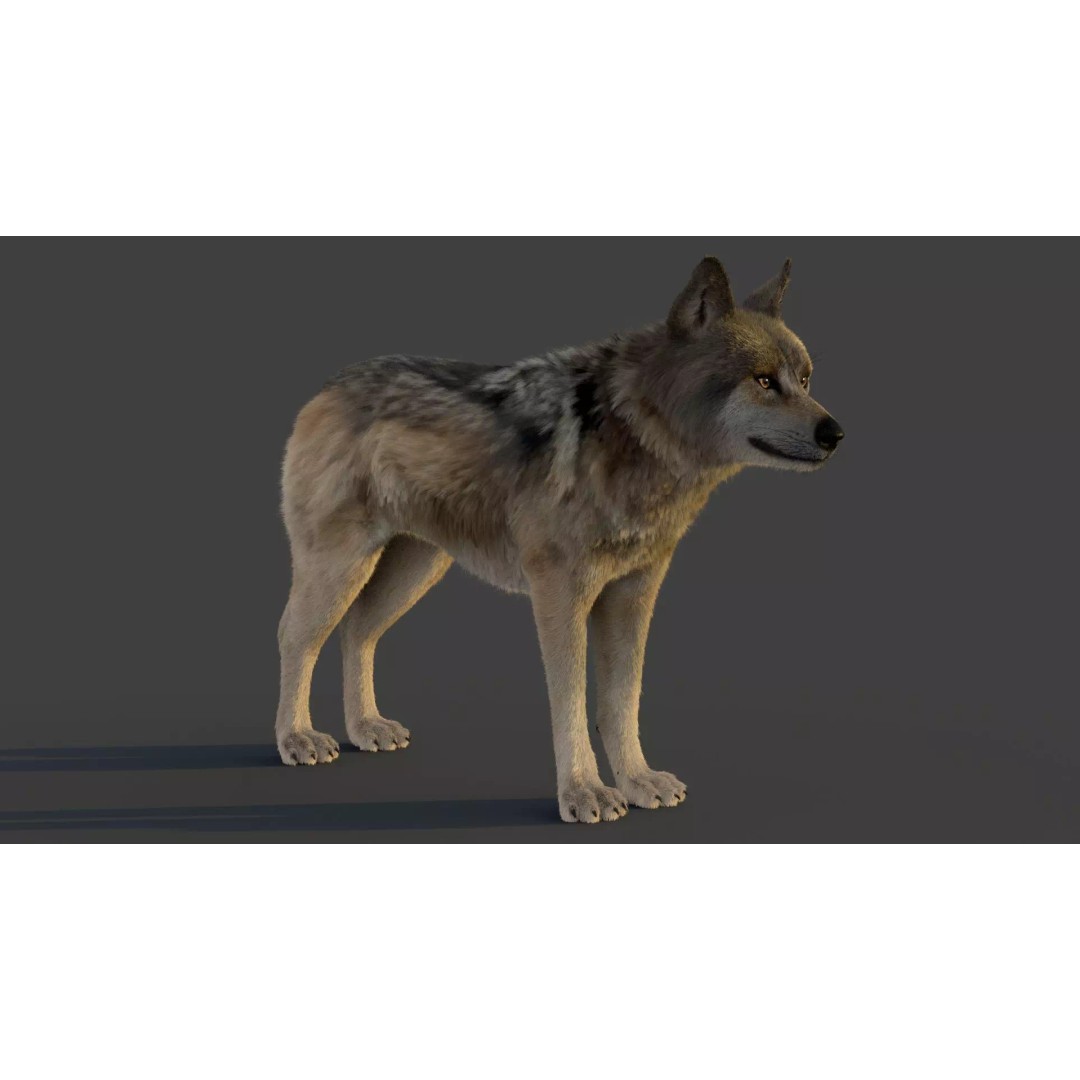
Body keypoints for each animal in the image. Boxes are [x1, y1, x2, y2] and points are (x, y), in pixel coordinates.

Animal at [274, 256, 844, 823]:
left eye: (805, 379)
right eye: (763, 381)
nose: (835, 433)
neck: (636, 433)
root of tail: (328, 385)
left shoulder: (633, 595)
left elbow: (622, 700)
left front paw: (638, 781)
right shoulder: (561, 595)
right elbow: (570, 701)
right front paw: (584, 792)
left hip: (415, 572)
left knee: (357, 630)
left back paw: (366, 728)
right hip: (342, 569)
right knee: (295, 636)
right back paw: (297, 738)